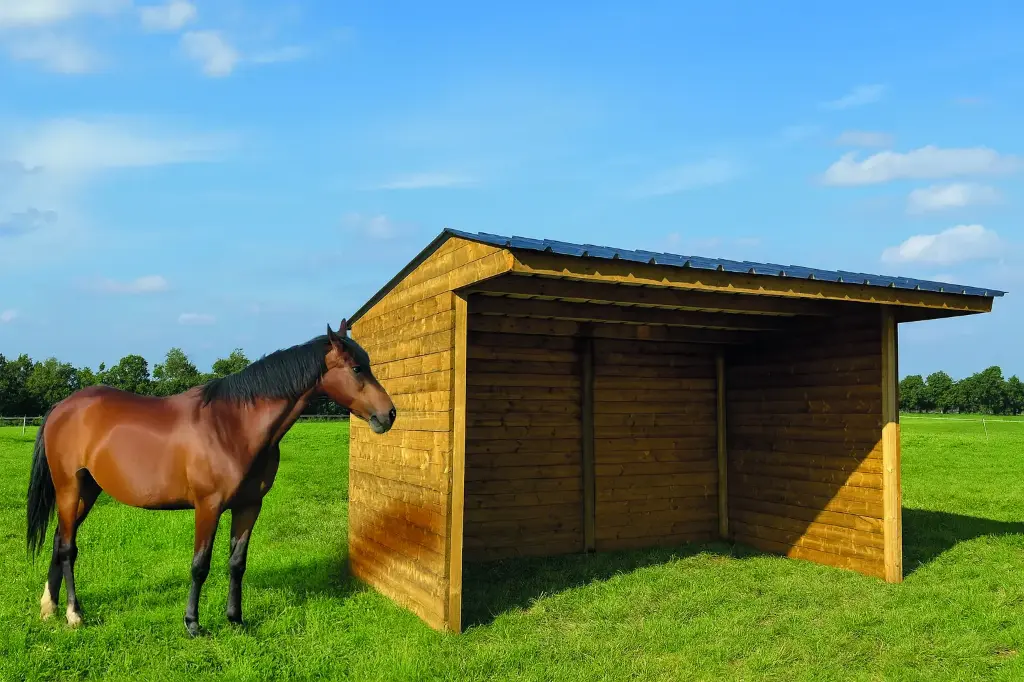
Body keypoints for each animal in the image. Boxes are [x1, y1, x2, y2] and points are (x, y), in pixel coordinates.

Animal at [25, 320, 396, 637]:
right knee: (68, 548)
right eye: (357, 368)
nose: (389, 414)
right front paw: (192, 624)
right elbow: (200, 565)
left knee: (59, 540)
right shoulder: (208, 506)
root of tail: (62, 407)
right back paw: (74, 613)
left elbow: (237, 563)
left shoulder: (249, 506)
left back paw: (49, 608)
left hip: (88, 491)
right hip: (70, 488)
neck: (232, 427)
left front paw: (235, 619)